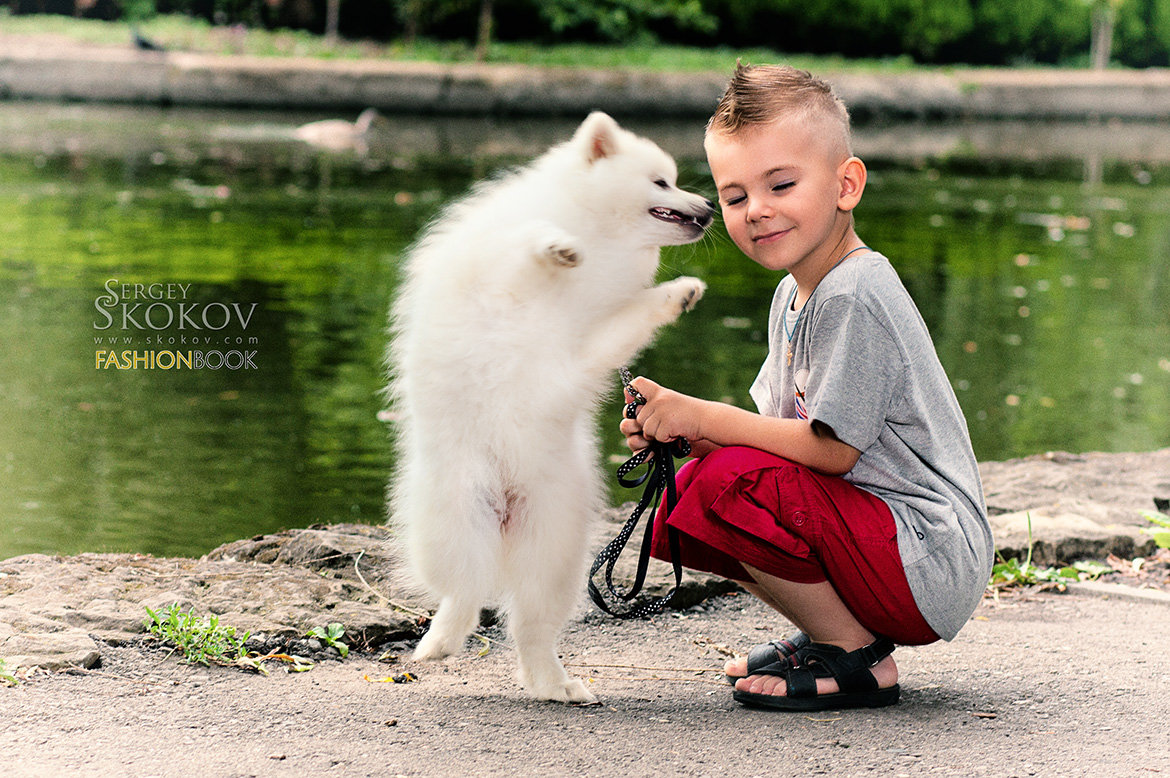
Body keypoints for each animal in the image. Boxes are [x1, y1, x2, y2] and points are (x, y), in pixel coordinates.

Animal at [388, 112, 711, 701]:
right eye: (662, 182)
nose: (707, 207)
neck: (603, 235)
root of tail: (507, 504)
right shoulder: (491, 262)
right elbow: (526, 240)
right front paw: (559, 247)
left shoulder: (593, 339)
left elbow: (631, 319)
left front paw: (677, 293)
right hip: (457, 517)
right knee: (465, 590)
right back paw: (442, 641)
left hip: (555, 550)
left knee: (529, 626)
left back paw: (553, 685)